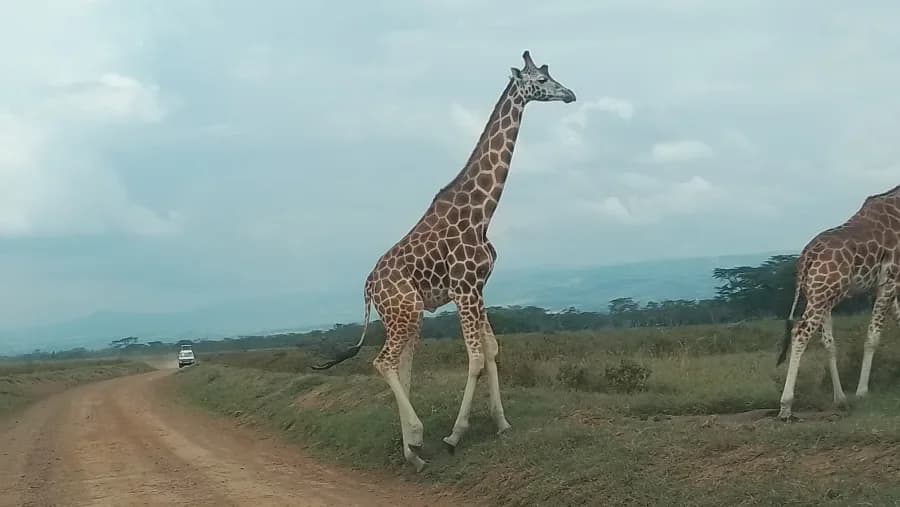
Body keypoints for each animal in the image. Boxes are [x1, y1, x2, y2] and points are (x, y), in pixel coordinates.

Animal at [311, 51, 576, 470]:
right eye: (540, 80)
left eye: (552, 75)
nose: (570, 94)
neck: (482, 213)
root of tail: (368, 285)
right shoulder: (465, 289)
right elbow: (476, 358)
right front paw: (455, 435)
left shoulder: (479, 288)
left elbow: (491, 350)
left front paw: (502, 424)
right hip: (405, 310)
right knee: (383, 362)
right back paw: (418, 437)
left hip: (407, 313)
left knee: (401, 365)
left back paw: (412, 452)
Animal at [776, 183, 900, 421]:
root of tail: (806, 258)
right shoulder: (889, 280)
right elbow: (872, 337)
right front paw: (862, 392)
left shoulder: (884, 285)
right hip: (821, 296)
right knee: (800, 333)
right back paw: (785, 406)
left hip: (821, 296)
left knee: (828, 342)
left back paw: (840, 397)